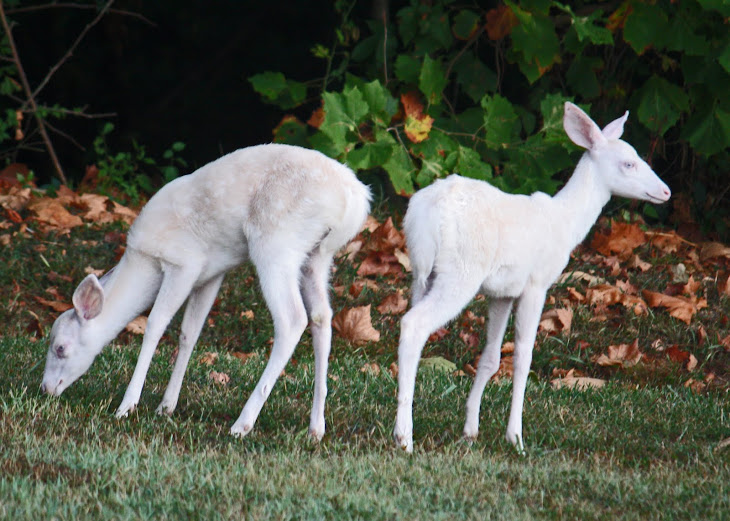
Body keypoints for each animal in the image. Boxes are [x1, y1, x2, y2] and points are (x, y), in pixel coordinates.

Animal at [40, 142, 370, 438]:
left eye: (60, 348)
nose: (45, 388)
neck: (143, 261)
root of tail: (356, 200)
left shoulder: (183, 263)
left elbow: (155, 325)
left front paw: (127, 406)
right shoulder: (211, 273)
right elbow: (190, 332)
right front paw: (166, 406)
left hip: (277, 242)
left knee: (292, 319)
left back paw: (242, 425)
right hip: (318, 255)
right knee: (321, 316)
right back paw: (316, 428)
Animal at [396, 101, 668, 450]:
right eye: (629, 163)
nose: (665, 191)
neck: (565, 222)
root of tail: (427, 216)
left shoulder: (502, 292)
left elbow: (491, 357)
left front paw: (471, 430)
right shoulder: (537, 283)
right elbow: (523, 358)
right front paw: (516, 437)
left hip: (420, 271)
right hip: (460, 272)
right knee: (413, 324)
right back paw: (405, 437)